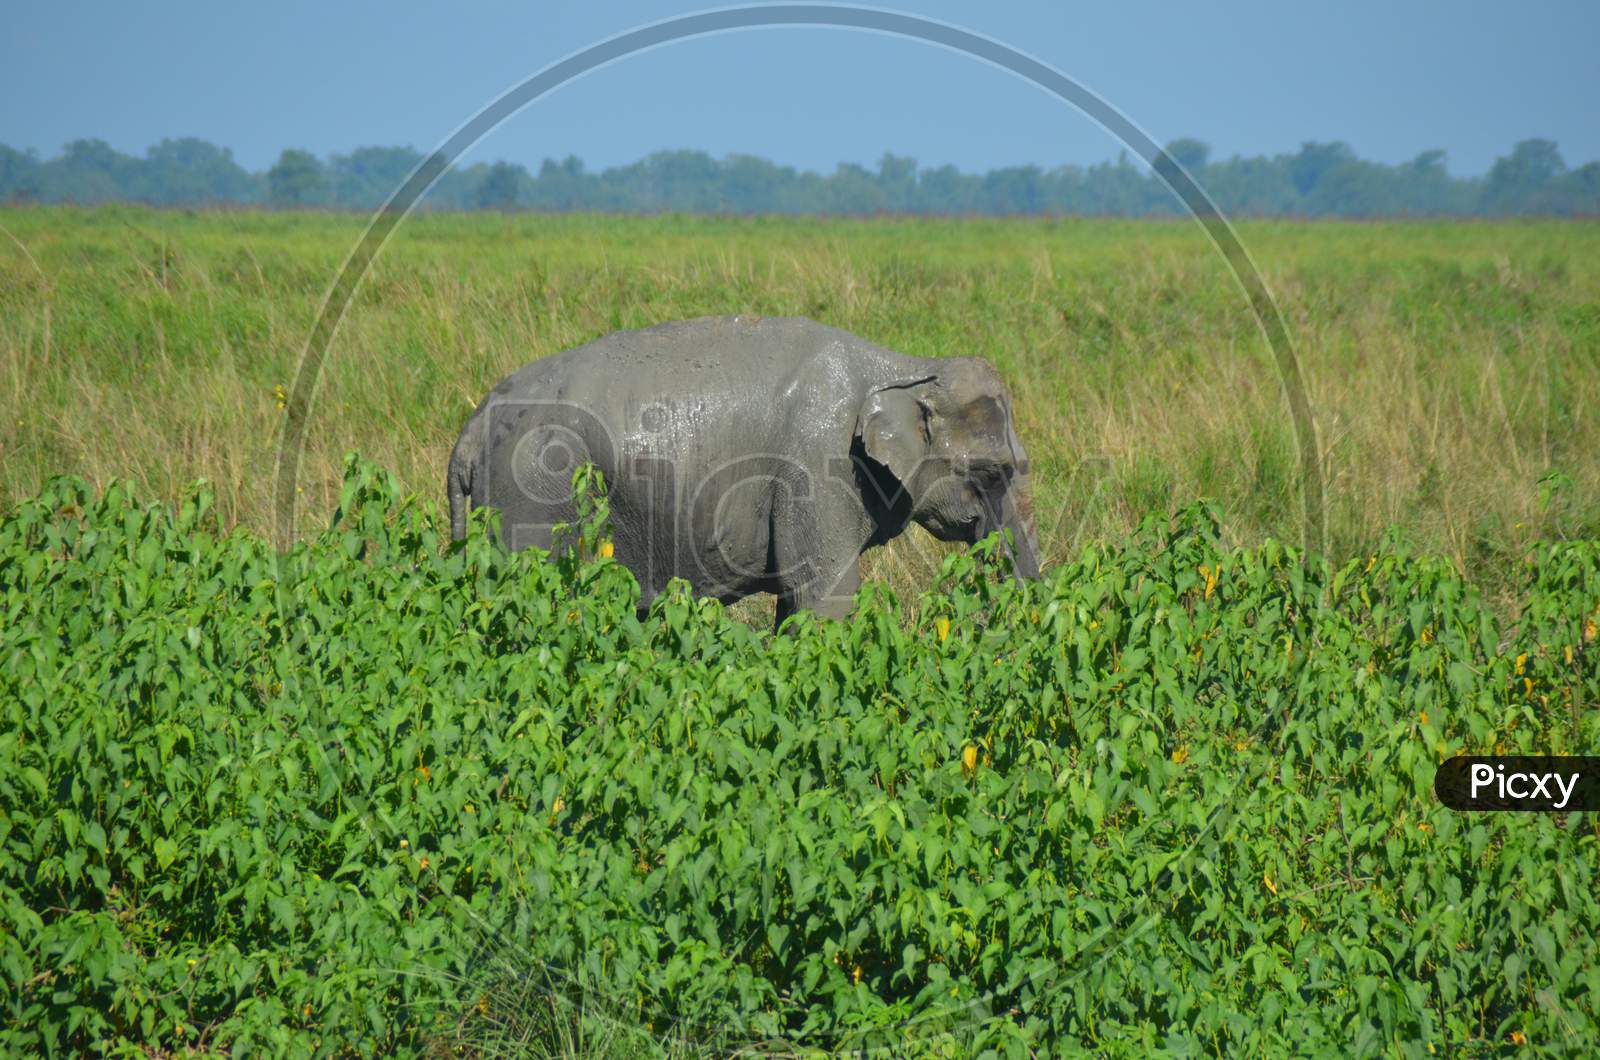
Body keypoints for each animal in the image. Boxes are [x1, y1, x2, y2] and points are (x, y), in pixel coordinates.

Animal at [451, 315, 1043, 630]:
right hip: (535, 492)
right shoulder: (819, 468)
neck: (907, 366)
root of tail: (472, 427)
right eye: (994, 473)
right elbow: (825, 597)